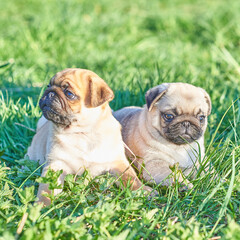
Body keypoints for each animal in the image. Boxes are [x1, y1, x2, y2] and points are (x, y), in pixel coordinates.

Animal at [26, 68, 152, 205]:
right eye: (48, 86)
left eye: (69, 93)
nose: (49, 93)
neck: (83, 133)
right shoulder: (55, 164)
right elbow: (47, 187)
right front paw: (42, 204)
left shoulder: (118, 163)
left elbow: (131, 178)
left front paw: (144, 190)